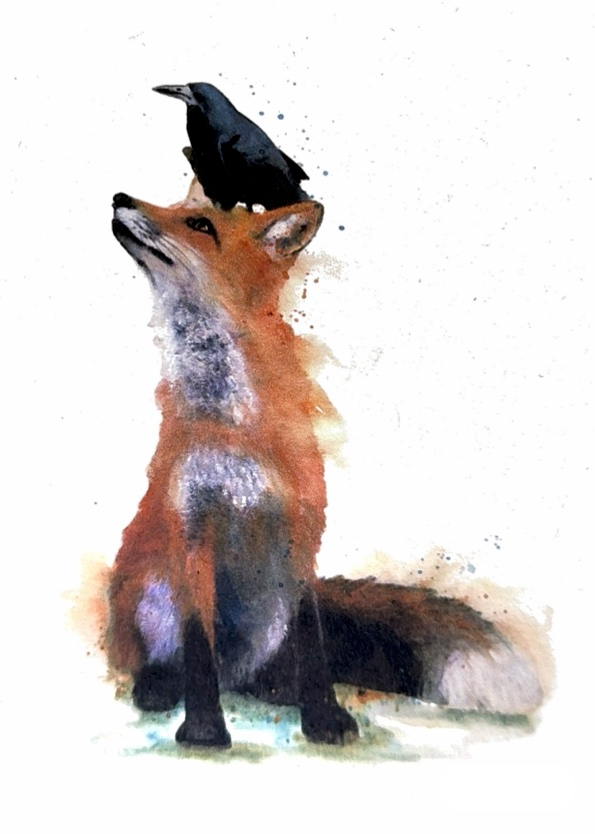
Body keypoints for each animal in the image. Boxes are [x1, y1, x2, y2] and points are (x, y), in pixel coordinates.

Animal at [109, 183, 542, 749]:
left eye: (200, 224)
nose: (120, 197)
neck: (232, 419)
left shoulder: (301, 530)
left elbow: (313, 642)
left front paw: (325, 719)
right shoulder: (193, 526)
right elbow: (198, 644)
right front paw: (204, 730)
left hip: (269, 612)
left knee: (265, 670)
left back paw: (278, 690)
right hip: (150, 595)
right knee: (184, 663)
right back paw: (161, 686)